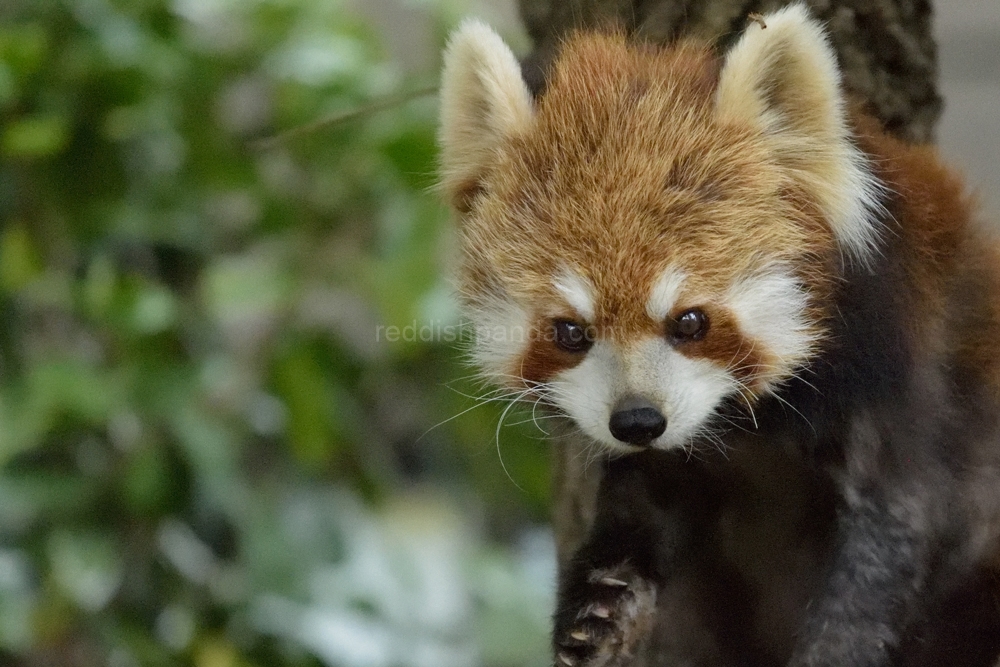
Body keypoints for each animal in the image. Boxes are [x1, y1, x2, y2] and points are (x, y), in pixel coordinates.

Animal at [442, 5, 1000, 667]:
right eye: (571, 331)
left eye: (690, 321)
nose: (637, 420)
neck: (757, 429)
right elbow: (644, 509)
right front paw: (598, 607)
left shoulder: (910, 392)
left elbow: (898, 530)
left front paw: (838, 646)